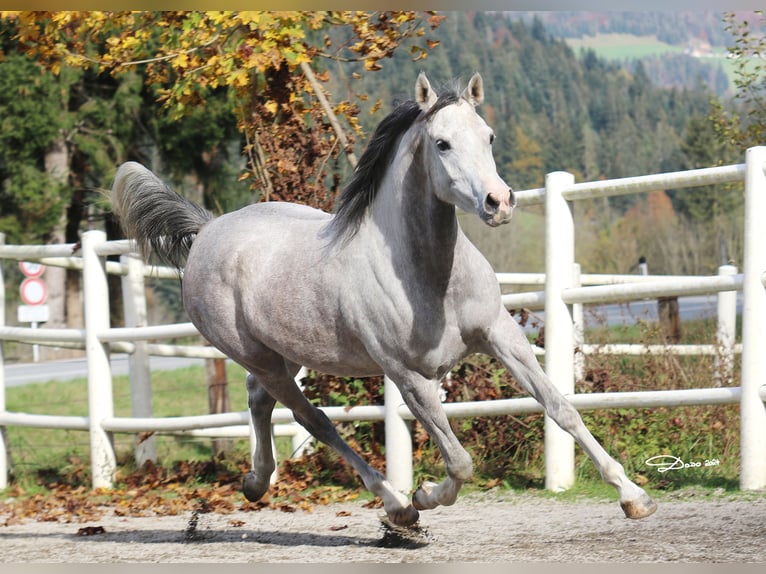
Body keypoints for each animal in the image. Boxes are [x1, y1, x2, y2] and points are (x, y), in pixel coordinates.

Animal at [110, 72, 657, 527]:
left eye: (489, 137)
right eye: (441, 143)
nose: (498, 203)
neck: (431, 277)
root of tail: (207, 231)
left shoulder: (501, 335)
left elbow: (561, 407)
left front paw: (634, 497)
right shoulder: (408, 376)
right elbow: (460, 461)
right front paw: (424, 495)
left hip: (284, 353)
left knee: (259, 399)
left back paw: (256, 482)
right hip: (258, 356)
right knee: (313, 419)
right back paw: (396, 508)